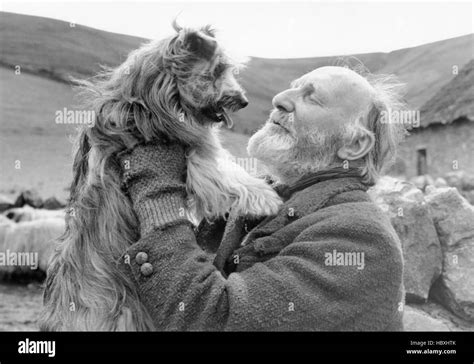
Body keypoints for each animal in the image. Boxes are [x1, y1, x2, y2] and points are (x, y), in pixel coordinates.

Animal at [39, 21, 282, 332]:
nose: (243, 101)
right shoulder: (189, 155)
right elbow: (225, 173)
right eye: (215, 71)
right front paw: (266, 196)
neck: (150, 100)